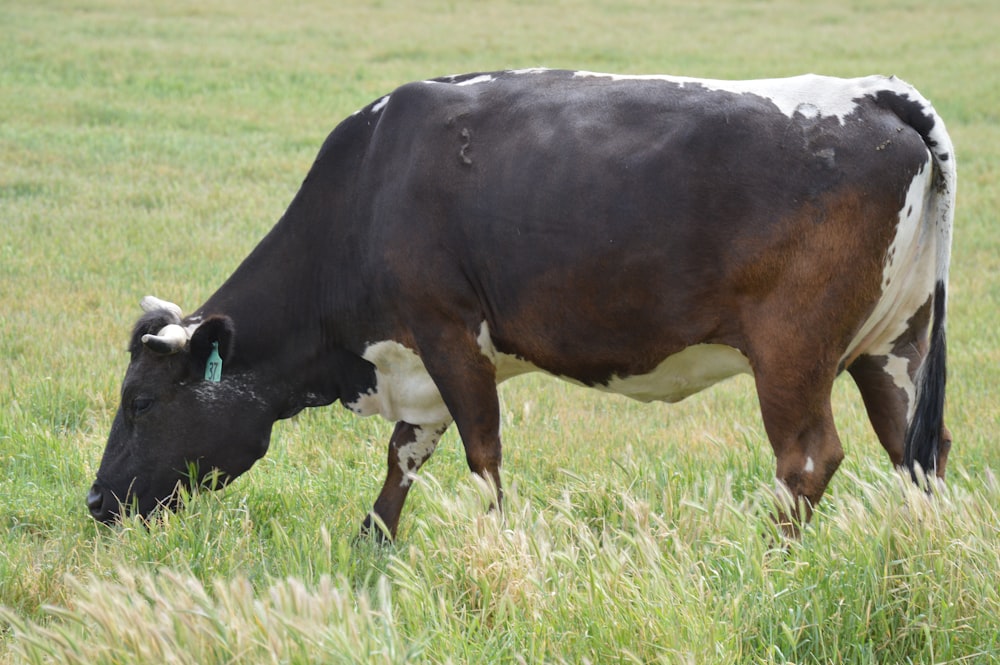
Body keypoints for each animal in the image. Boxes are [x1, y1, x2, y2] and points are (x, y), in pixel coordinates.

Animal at [90, 67, 956, 536]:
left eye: (139, 402)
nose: (97, 499)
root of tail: (873, 95)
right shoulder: (418, 363)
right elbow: (401, 462)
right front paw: (371, 547)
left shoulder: (449, 334)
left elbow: (483, 457)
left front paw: (499, 551)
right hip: (894, 345)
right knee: (920, 451)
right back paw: (919, 557)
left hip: (792, 352)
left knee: (809, 460)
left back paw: (765, 558)